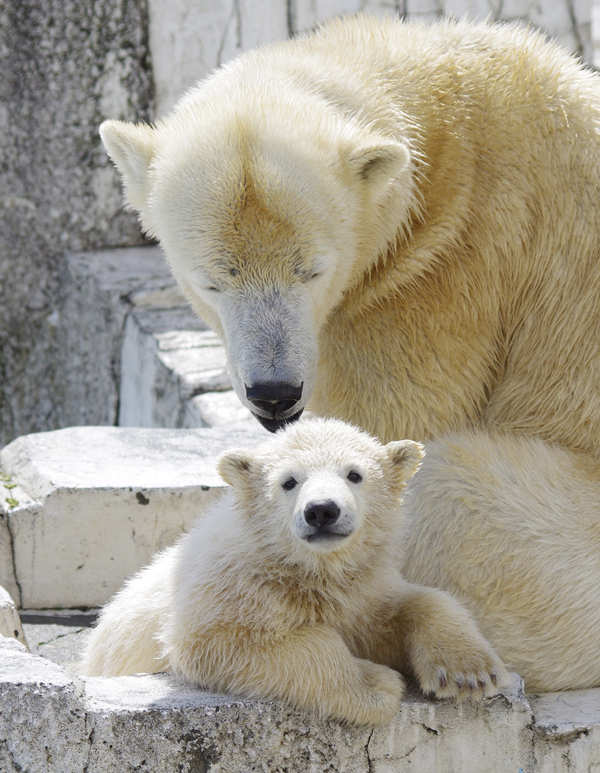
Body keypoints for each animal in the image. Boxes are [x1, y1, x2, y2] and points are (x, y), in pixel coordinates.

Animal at [103, 19, 600, 688]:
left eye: (312, 269)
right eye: (213, 281)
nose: (274, 393)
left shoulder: (439, 284)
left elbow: (382, 453)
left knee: (447, 492)